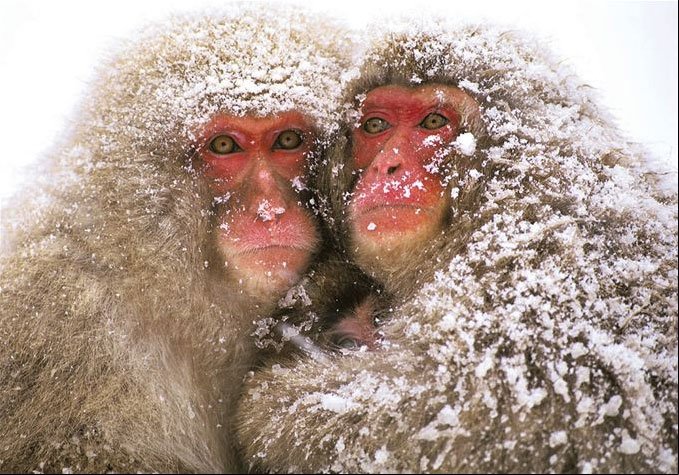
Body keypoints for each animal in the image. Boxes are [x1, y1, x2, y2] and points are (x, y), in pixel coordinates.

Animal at [236, 21, 678, 473]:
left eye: (433, 121)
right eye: (375, 126)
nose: (387, 166)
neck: (498, 177)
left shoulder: (527, 266)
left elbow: (459, 404)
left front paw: (263, 407)